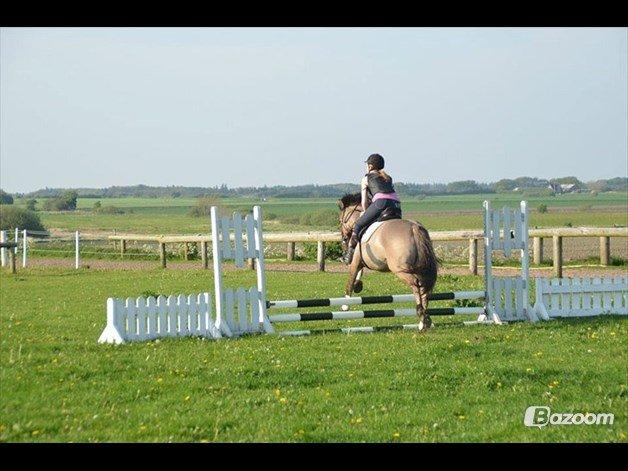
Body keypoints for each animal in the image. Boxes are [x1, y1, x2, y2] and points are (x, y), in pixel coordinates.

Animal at [338, 194, 436, 330]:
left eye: (340, 220)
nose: (343, 238)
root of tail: (414, 228)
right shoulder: (362, 260)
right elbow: (359, 274)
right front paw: (358, 285)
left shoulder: (356, 260)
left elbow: (351, 279)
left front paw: (345, 305)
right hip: (420, 269)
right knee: (424, 289)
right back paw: (424, 321)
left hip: (399, 269)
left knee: (416, 285)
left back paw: (421, 316)